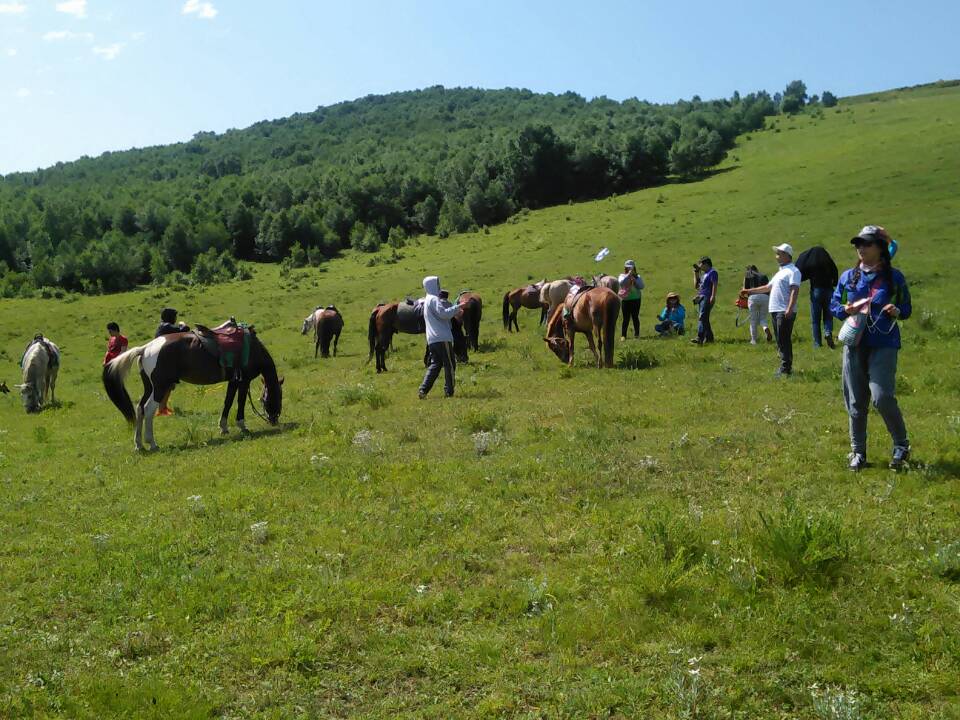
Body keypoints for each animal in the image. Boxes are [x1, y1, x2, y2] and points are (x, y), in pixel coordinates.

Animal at [102, 324, 282, 452]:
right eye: (278, 398)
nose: (274, 420)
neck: (252, 348)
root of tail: (145, 348)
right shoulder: (244, 381)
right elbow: (241, 402)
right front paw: (242, 426)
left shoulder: (234, 381)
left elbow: (228, 401)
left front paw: (223, 427)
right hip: (160, 388)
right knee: (148, 409)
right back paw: (152, 443)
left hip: (150, 388)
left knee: (139, 409)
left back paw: (139, 444)